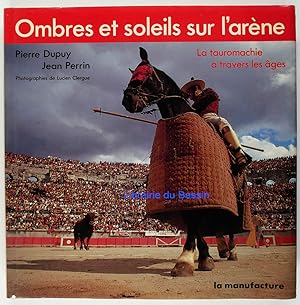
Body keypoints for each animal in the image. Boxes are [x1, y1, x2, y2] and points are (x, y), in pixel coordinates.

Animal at [122, 47, 253, 276]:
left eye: (145, 74)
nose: (128, 100)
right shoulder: (185, 194)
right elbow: (195, 222)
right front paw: (204, 257)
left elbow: (194, 221)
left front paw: (184, 262)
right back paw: (221, 249)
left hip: (237, 194)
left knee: (231, 223)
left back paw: (232, 251)